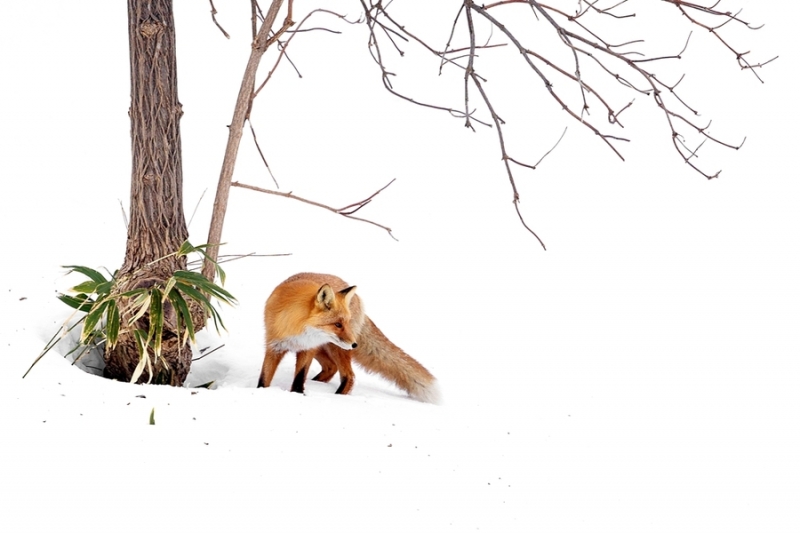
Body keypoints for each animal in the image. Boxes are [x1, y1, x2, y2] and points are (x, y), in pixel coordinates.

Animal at [258, 272, 440, 402]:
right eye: (338, 324)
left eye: (345, 322)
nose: (355, 344)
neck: (296, 327)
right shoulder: (274, 346)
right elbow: (264, 378)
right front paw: (261, 392)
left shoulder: (308, 349)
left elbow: (298, 379)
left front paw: (297, 394)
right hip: (326, 347)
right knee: (331, 367)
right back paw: (318, 383)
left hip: (336, 348)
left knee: (349, 376)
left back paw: (337, 397)